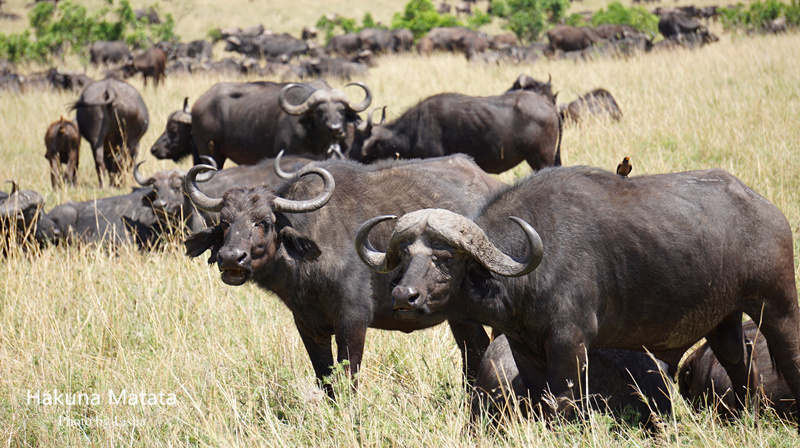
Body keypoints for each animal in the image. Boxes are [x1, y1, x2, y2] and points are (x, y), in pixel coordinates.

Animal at [157, 79, 376, 167]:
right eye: (320, 111)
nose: (336, 129)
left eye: (341, 111)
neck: (313, 137)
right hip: (209, 154)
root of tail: (198, 105)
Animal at [182, 156, 506, 398]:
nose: (231, 258)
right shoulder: (308, 325)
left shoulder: (353, 321)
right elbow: (325, 379)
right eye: (225, 222)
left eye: (263, 221)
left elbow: (349, 378)